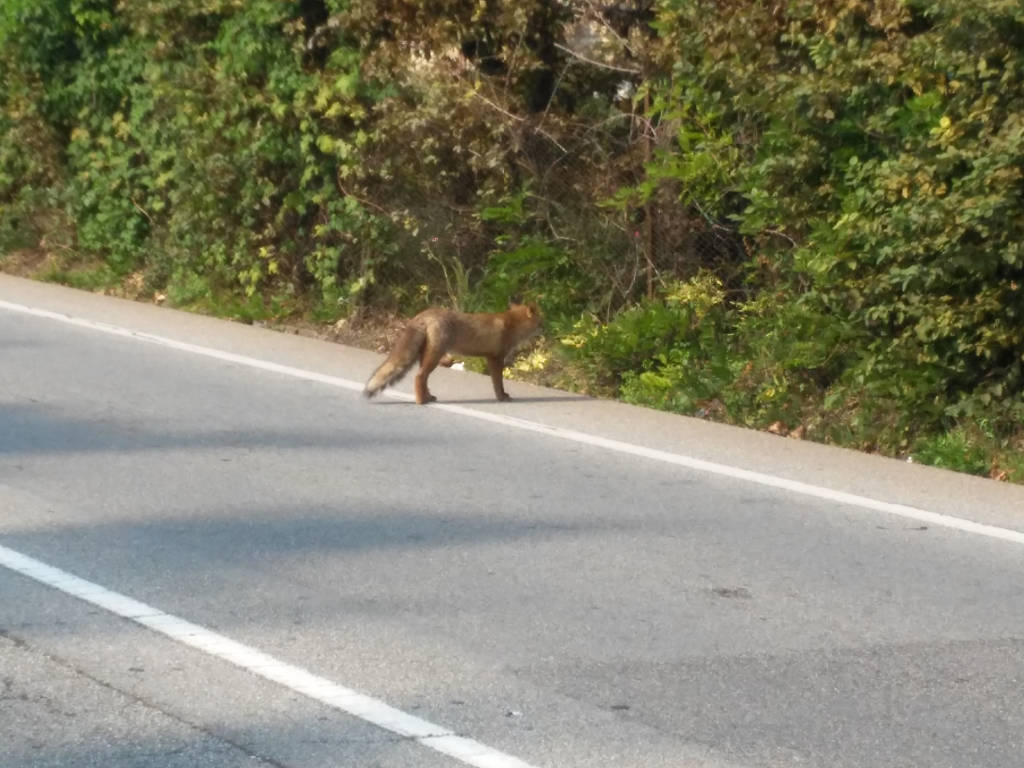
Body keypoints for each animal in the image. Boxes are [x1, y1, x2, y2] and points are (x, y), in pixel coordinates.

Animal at [366, 303, 544, 405]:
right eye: (540, 320)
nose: (546, 327)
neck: (512, 324)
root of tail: (425, 313)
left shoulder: (491, 357)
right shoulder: (495, 358)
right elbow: (498, 383)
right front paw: (502, 397)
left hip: (428, 355)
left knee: (422, 378)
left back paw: (428, 397)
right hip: (435, 355)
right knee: (419, 377)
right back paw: (421, 401)